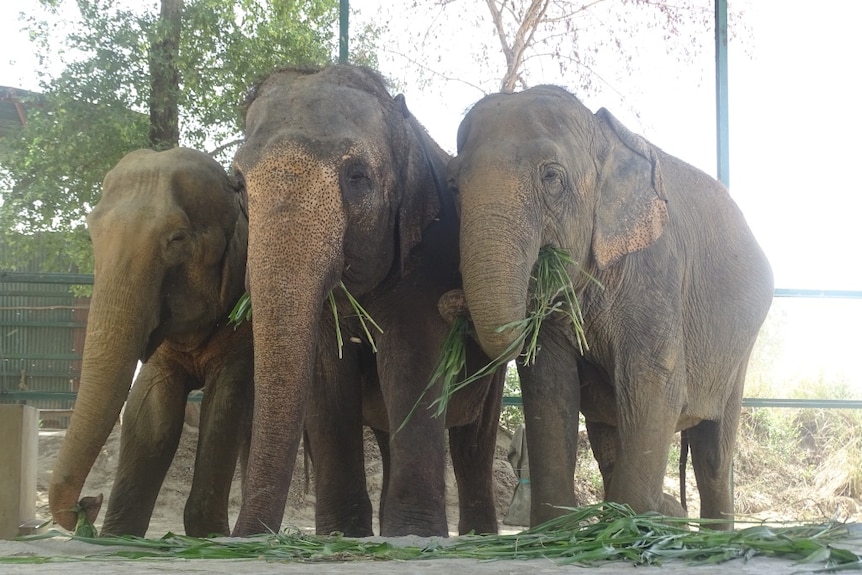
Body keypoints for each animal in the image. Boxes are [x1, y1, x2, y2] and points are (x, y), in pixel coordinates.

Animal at [49, 148, 253, 540]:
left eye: (177, 239)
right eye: (91, 239)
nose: (89, 503)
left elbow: (225, 405)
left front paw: (209, 537)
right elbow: (151, 414)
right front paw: (119, 536)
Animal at [233, 66, 506, 540]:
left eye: (358, 176)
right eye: (238, 185)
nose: (237, 537)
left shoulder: (427, 261)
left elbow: (412, 365)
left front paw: (416, 535)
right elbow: (328, 379)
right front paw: (343, 535)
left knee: (474, 440)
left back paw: (477, 536)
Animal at [446, 85, 776, 532]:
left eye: (551, 177)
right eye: (453, 187)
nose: (451, 302)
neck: (602, 138)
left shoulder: (654, 271)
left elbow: (653, 385)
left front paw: (628, 530)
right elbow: (549, 385)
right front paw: (555, 532)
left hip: (738, 350)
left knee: (713, 452)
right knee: (610, 440)